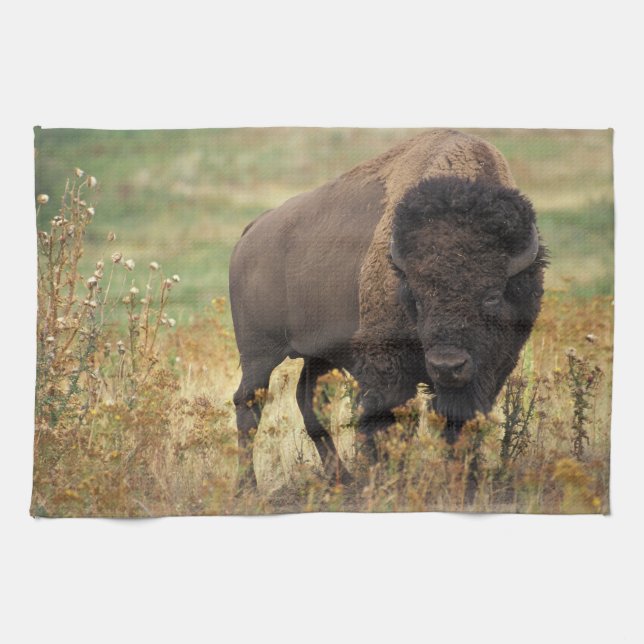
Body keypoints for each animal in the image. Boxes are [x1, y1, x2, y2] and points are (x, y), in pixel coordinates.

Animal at [229, 129, 546, 487]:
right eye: (416, 296)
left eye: (492, 295)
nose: (447, 365)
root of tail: (251, 232)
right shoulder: (386, 364)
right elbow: (388, 420)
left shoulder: (492, 368)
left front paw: (465, 478)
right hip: (259, 352)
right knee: (249, 405)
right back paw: (248, 486)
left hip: (317, 355)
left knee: (307, 402)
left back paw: (342, 478)